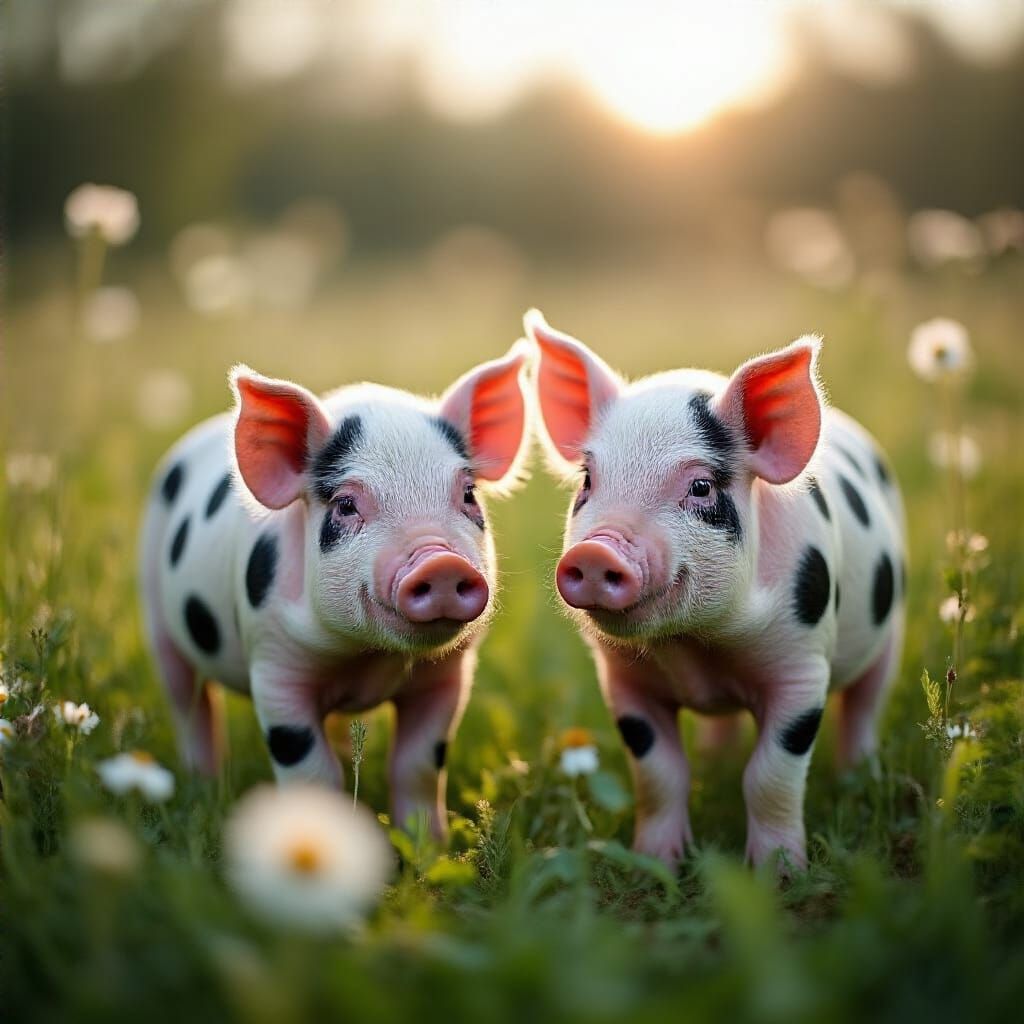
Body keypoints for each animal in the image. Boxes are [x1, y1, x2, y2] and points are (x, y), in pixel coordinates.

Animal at [139, 344, 531, 837]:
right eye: (345, 505)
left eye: (468, 495)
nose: (441, 562)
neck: (365, 657)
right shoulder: (275, 668)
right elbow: (313, 772)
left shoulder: (447, 674)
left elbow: (418, 764)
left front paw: (429, 845)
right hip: (156, 612)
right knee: (188, 704)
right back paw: (201, 787)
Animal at [525, 310, 906, 870]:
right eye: (588, 479)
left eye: (701, 487)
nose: (596, 553)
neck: (698, 644)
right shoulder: (624, 679)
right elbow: (660, 773)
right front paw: (656, 863)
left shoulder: (802, 668)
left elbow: (770, 774)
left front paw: (778, 873)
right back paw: (714, 759)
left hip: (893, 625)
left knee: (865, 704)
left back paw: (859, 780)